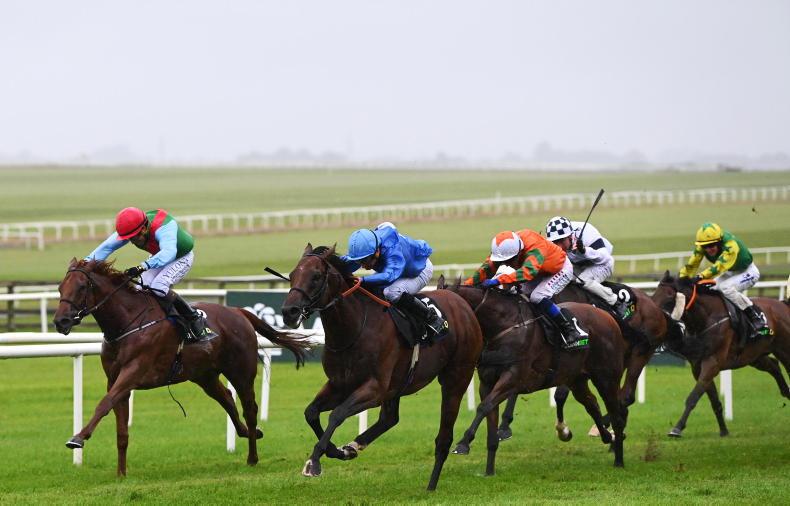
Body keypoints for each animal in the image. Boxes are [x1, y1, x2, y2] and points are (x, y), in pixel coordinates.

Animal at [53, 259, 311, 475]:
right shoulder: (115, 379)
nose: (60, 321)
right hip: (204, 375)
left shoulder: (133, 372)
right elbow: (121, 430)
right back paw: (250, 433)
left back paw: (252, 456)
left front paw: (78, 437)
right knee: (228, 399)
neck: (128, 323)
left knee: (249, 409)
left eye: (81, 287)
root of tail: (238, 312)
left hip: (241, 372)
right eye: (60, 288)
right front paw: (121, 474)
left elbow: (104, 403)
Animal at [280, 245, 483, 491]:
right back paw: (353, 446)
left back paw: (431, 485)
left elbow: (337, 414)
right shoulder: (340, 384)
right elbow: (311, 412)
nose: (289, 311)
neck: (354, 329)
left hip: (456, 376)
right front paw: (336, 451)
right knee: (390, 418)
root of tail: (460, 301)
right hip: (397, 385)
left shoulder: (375, 388)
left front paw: (315, 461)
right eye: (292, 275)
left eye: (316, 276)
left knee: (444, 436)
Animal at [439, 280, 627, 474]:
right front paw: (489, 471)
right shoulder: (486, 382)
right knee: (592, 404)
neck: (503, 326)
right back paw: (605, 436)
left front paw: (463, 443)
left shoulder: (512, 378)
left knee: (617, 414)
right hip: (576, 379)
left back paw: (619, 460)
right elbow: (489, 414)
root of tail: (607, 316)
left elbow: (484, 407)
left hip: (606, 377)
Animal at [496, 281, 670, 442]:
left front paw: (563, 430)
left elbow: (559, 395)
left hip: (639, 354)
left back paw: (604, 427)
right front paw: (504, 427)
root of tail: (655, 306)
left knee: (626, 395)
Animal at [651, 271, 790, 437]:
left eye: (669, 295)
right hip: (754, 356)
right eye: (654, 294)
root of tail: (783, 304)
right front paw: (724, 431)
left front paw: (677, 428)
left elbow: (693, 397)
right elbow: (714, 401)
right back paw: (786, 391)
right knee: (774, 366)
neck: (705, 319)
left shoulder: (712, 363)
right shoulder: (698, 367)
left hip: (784, 350)